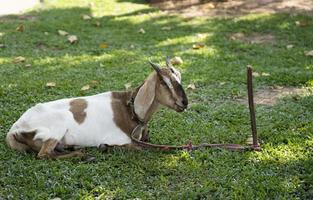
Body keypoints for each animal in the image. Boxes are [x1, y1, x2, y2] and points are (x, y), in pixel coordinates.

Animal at [6, 58, 188, 159]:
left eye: (179, 77)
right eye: (164, 82)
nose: (184, 102)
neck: (131, 110)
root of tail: (15, 129)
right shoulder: (122, 139)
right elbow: (138, 147)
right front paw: (106, 147)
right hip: (56, 127)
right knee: (43, 154)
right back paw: (83, 155)